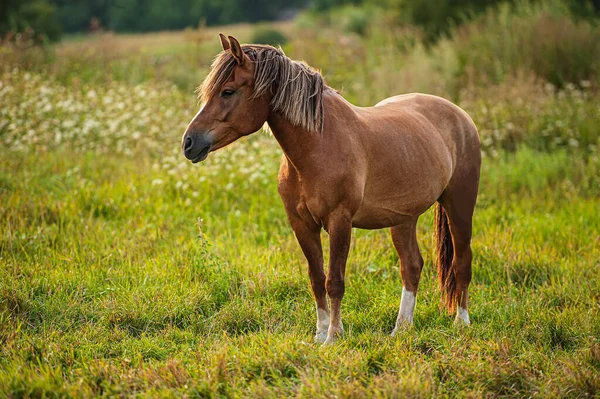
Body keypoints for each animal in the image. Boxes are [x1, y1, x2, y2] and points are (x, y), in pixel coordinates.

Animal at [183, 34, 482, 346]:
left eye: (227, 92)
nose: (189, 143)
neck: (318, 146)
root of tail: (460, 115)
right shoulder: (302, 225)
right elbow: (316, 279)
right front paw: (319, 333)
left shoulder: (340, 221)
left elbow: (334, 281)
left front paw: (333, 336)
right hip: (403, 219)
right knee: (411, 266)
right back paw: (401, 328)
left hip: (459, 205)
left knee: (461, 262)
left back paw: (461, 322)